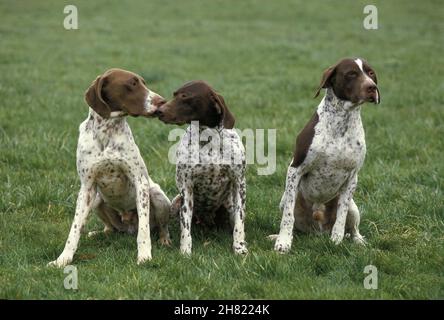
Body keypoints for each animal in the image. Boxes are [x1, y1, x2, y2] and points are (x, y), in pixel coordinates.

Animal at [49, 68, 172, 268]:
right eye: (132, 83)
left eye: (144, 82)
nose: (162, 101)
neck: (106, 131)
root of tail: (128, 226)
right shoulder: (87, 188)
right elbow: (74, 229)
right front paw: (63, 259)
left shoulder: (141, 183)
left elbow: (144, 230)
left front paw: (144, 256)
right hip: (97, 200)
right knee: (110, 229)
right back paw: (98, 233)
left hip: (158, 197)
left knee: (161, 227)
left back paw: (164, 239)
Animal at [272, 57, 380, 252]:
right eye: (351, 74)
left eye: (371, 73)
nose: (372, 87)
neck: (342, 122)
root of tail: (318, 230)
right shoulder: (295, 170)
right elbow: (288, 217)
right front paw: (283, 242)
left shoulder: (352, 177)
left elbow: (341, 217)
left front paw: (336, 240)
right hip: (284, 200)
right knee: (293, 223)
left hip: (353, 207)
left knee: (353, 228)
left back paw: (358, 240)